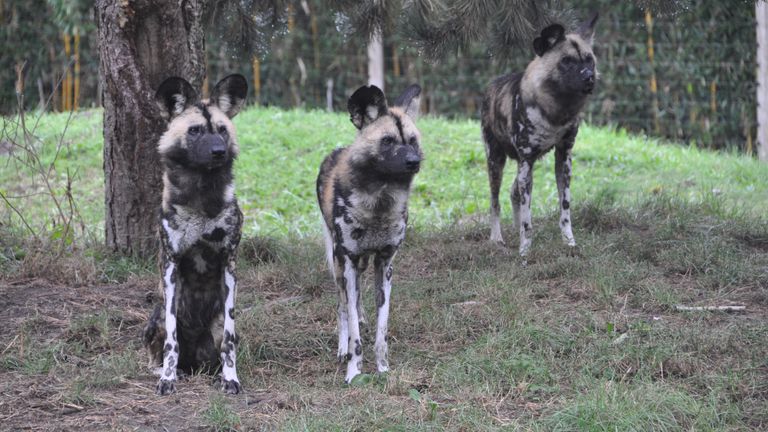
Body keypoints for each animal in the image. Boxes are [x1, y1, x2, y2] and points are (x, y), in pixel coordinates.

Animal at [142, 74, 248, 394]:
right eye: (195, 131)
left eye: (222, 130)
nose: (218, 152)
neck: (202, 195)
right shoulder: (171, 266)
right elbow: (171, 342)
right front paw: (167, 379)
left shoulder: (229, 264)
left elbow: (229, 342)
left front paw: (230, 378)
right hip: (157, 316)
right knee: (160, 349)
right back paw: (167, 370)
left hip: (215, 325)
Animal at [316, 82, 424, 384]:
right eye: (387, 141)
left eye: (412, 140)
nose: (414, 161)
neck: (379, 199)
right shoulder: (348, 261)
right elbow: (354, 331)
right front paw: (354, 372)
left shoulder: (384, 265)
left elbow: (381, 332)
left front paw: (383, 369)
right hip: (339, 265)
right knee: (342, 305)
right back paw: (342, 348)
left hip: (361, 263)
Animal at [480, 12, 600, 256]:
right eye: (566, 61)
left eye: (589, 60)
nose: (589, 77)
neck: (557, 111)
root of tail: (490, 86)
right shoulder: (526, 160)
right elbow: (528, 219)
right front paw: (525, 251)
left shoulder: (563, 158)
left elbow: (565, 209)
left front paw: (569, 243)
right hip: (496, 162)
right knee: (495, 202)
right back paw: (497, 239)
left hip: (523, 167)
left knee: (513, 192)